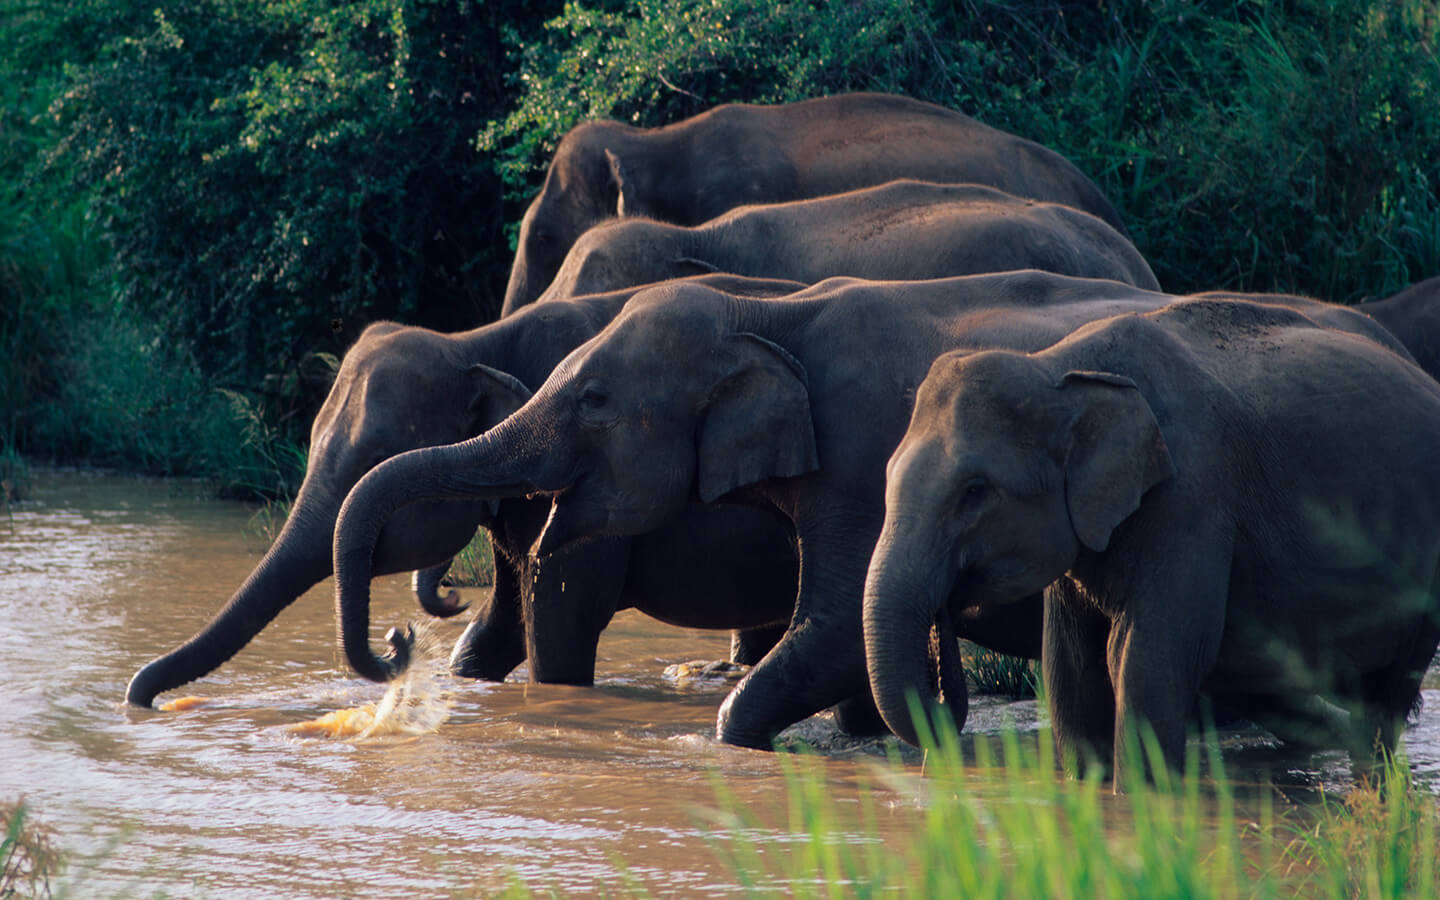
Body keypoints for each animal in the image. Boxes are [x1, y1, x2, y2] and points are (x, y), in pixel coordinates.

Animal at [124, 274, 808, 709]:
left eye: (373, 458)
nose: (398, 638)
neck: (474, 342)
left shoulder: (591, 475)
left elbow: (560, 620)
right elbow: (500, 622)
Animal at [863, 298, 1440, 782]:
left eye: (975, 490)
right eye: (886, 476)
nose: (948, 606)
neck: (1058, 367)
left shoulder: (1193, 497)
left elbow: (1143, 659)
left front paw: (1144, 803)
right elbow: (1072, 670)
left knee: (1385, 696)